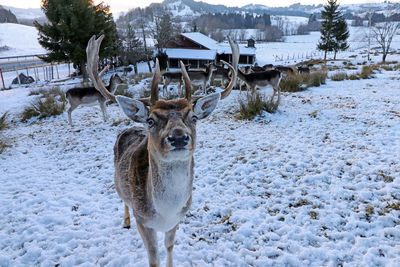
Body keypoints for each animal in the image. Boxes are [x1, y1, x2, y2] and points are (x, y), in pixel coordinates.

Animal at [86, 34, 239, 267]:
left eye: (193, 117)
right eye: (151, 120)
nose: (178, 137)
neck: (165, 212)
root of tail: (129, 127)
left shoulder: (177, 219)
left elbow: (169, 246)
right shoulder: (143, 220)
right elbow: (153, 256)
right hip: (119, 184)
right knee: (123, 201)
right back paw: (125, 221)